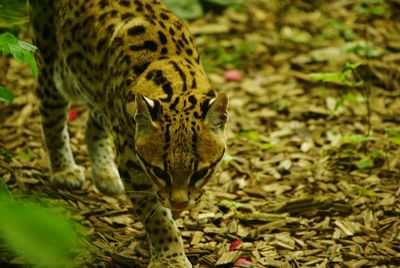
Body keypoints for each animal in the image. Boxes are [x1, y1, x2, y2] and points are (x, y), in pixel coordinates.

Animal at [28, 0, 228, 268]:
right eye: (159, 172)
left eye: (200, 173)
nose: (179, 203)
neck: (178, 85)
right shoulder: (133, 166)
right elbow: (157, 218)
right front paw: (170, 257)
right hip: (53, 65)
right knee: (52, 114)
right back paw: (63, 169)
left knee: (93, 122)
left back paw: (104, 173)